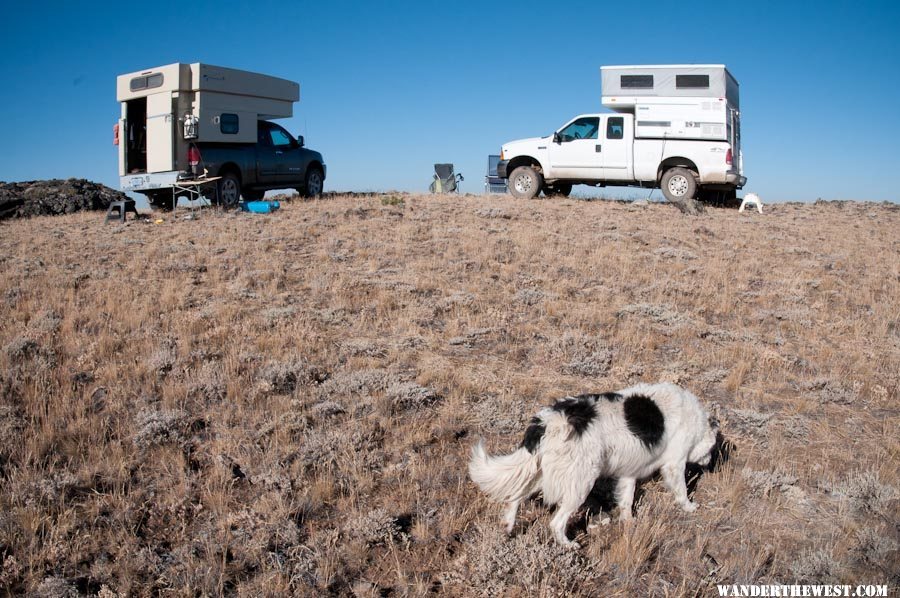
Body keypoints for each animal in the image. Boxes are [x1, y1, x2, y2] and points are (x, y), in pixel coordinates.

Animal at [472, 384, 716, 548]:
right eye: (712, 449)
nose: (710, 464)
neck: (697, 420)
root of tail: (547, 423)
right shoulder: (674, 464)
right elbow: (681, 489)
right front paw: (689, 507)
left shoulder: (629, 473)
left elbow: (626, 500)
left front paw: (629, 522)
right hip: (580, 482)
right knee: (556, 522)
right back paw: (568, 545)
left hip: (544, 472)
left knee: (515, 496)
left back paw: (507, 527)